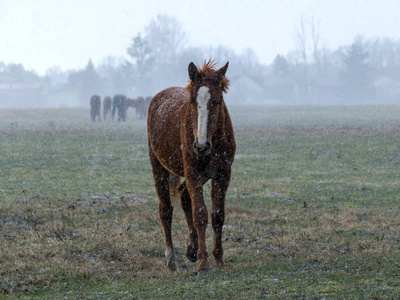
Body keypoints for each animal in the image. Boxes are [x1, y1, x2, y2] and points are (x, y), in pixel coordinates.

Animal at [147, 60, 234, 272]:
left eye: (217, 101)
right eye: (193, 102)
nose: (201, 146)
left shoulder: (222, 175)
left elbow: (217, 216)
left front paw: (218, 258)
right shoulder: (193, 173)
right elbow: (200, 214)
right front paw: (204, 262)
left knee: (183, 194)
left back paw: (191, 250)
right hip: (159, 169)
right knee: (166, 210)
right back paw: (171, 259)